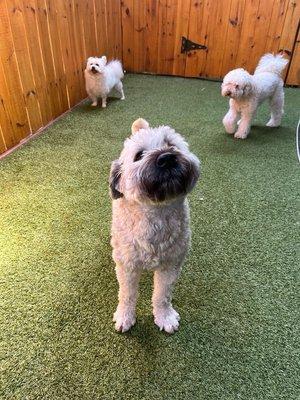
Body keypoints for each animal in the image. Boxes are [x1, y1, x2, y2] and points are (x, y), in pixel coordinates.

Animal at [109, 119, 200, 334]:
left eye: (171, 144)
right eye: (139, 155)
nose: (167, 158)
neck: (155, 213)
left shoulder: (171, 265)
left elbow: (162, 295)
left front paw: (164, 317)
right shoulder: (127, 267)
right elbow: (126, 295)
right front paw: (125, 316)